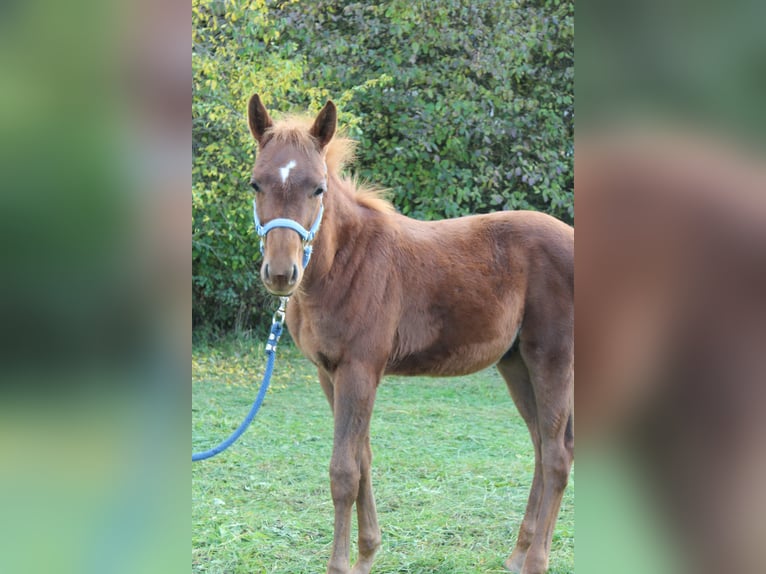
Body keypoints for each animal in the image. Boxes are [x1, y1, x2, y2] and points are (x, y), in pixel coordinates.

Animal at [246, 94, 574, 574]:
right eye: (255, 184)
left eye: (318, 188)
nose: (281, 273)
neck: (344, 261)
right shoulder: (330, 373)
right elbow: (363, 459)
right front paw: (367, 553)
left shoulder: (360, 368)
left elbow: (344, 471)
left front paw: (341, 564)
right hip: (516, 364)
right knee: (541, 444)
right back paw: (518, 553)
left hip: (552, 357)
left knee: (557, 455)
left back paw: (535, 560)